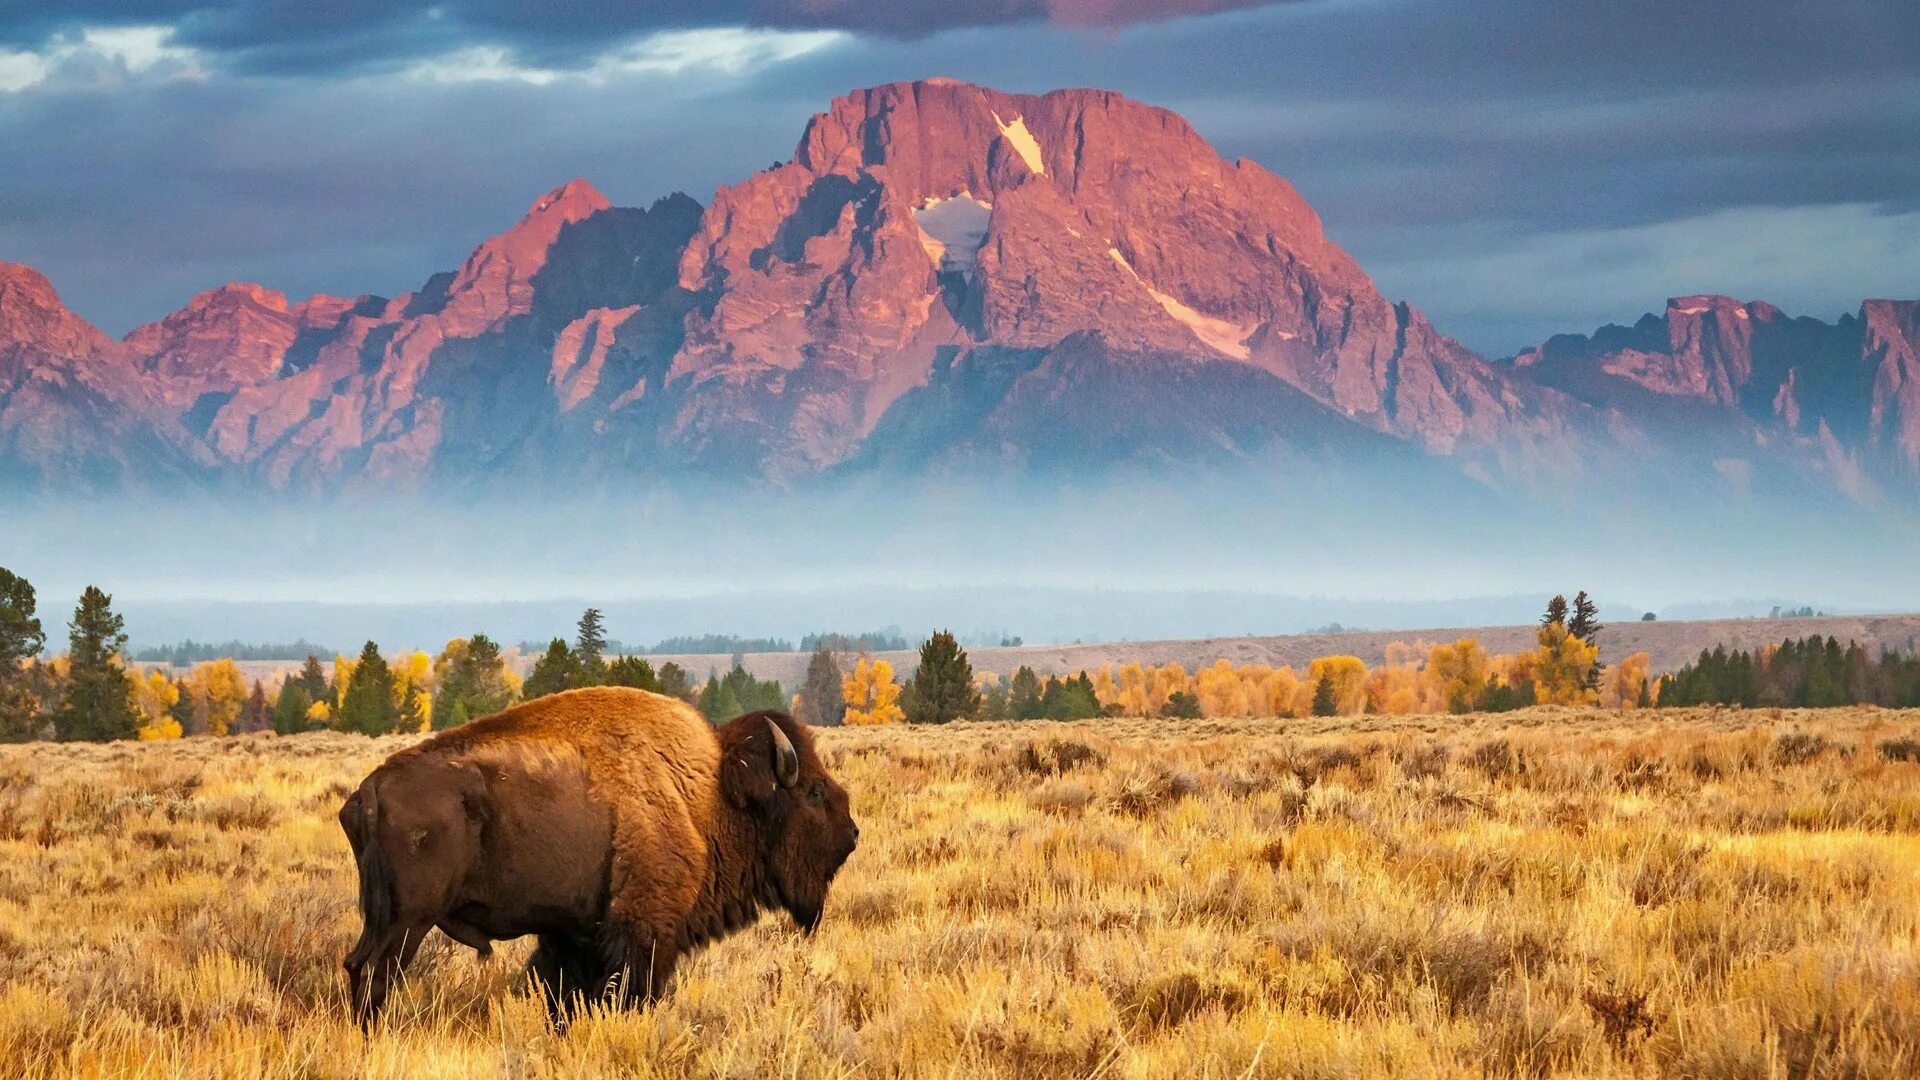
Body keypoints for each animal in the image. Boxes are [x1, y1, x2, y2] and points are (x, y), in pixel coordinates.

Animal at [339, 684, 864, 1022]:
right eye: (814, 791)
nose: (852, 833)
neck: (710, 793)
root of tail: (370, 790)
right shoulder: (644, 930)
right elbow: (630, 991)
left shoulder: (573, 934)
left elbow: (564, 993)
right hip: (408, 922)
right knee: (376, 975)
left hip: (382, 919)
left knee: (356, 965)